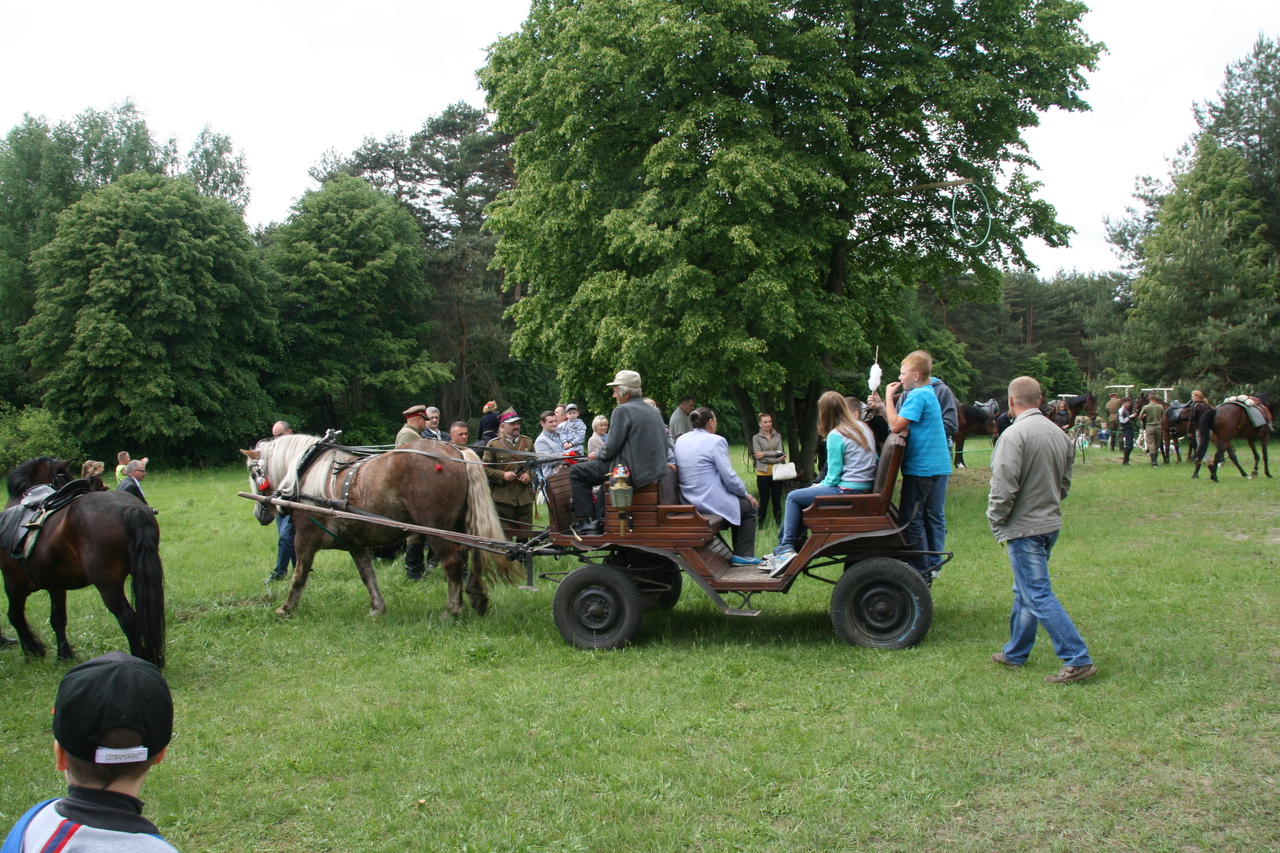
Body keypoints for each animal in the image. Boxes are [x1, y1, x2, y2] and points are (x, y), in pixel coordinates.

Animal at [0, 458, 167, 666]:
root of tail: (130, 508)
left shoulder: (13, 581)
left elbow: (15, 616)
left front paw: (33, 650)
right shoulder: (55, 585)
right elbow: (57, 619)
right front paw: (64, 655)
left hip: (107, 584)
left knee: (128, 618)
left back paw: (139, 658)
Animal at [241, 432, 522, 617]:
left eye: (254, 473)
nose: (259, 514)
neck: (306, 473)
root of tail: (455, 451)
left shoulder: (305, 539)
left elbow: (299, 575)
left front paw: (287, 608)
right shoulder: (355, 544)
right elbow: (367, 575)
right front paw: (377, 608)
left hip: (436, 527)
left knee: (452, 563)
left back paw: (452, 610)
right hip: (463, 523)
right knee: (477, 554)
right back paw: (477, 597)